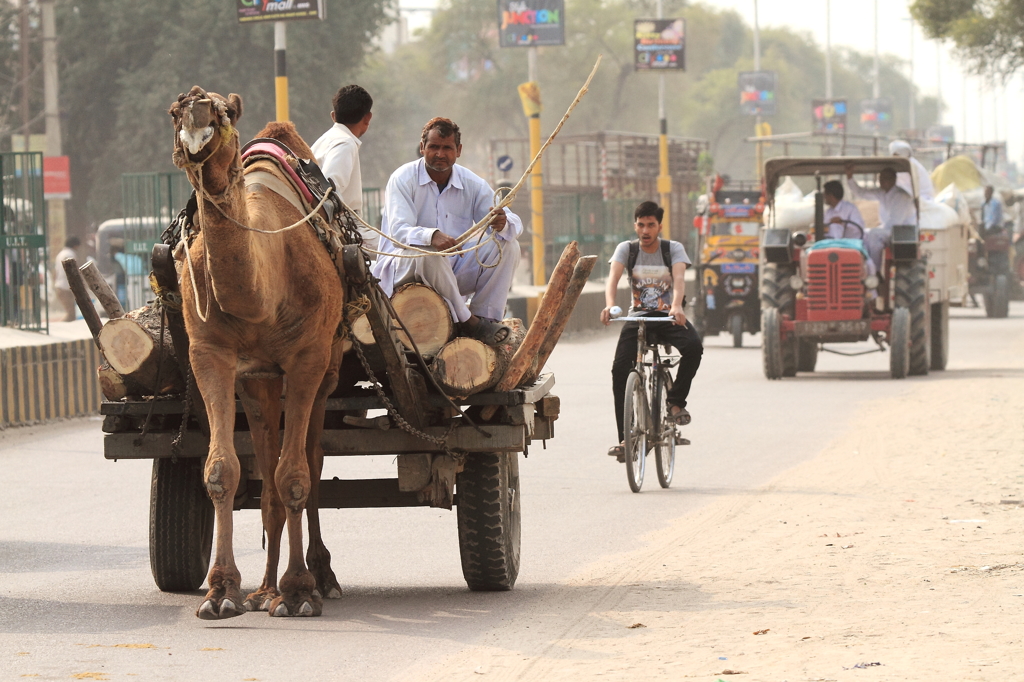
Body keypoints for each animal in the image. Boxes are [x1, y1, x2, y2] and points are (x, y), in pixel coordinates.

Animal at [167, 84, 344, 614]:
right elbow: (222, 470)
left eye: (224, 111)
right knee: (266, 467)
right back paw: (265, 588)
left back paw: (318, 577)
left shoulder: (307, 358)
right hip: (259, 381)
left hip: (327, 369)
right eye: (175, 110)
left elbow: (296, 475)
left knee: (310, 460)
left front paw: (300, 591)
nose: (198, 112)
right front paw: (221, 591)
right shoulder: (211, 355)